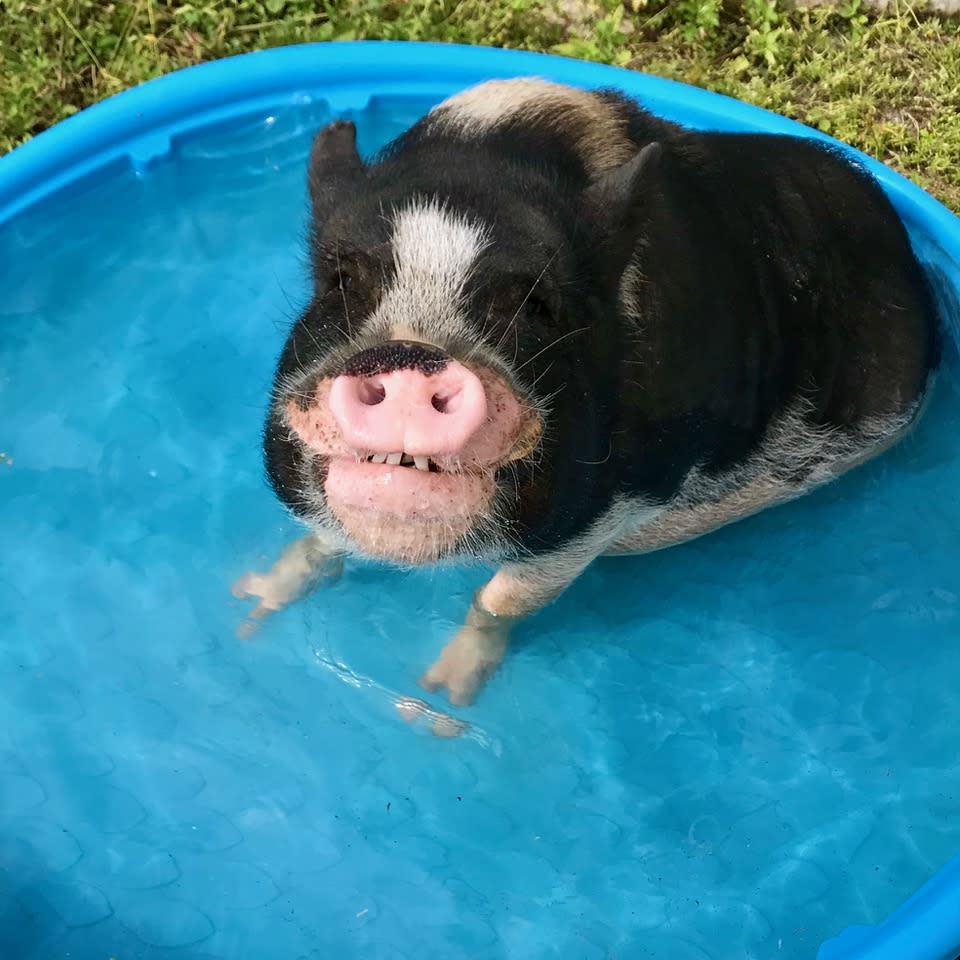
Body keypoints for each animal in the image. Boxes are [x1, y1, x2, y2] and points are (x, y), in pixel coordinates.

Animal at [231, 79, 936, 708]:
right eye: (342, 279)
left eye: (536, 305)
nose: (411, 356)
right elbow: (323, 542)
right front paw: (246, 612)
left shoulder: (610, 507)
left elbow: (499, 601)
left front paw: (436, 704)